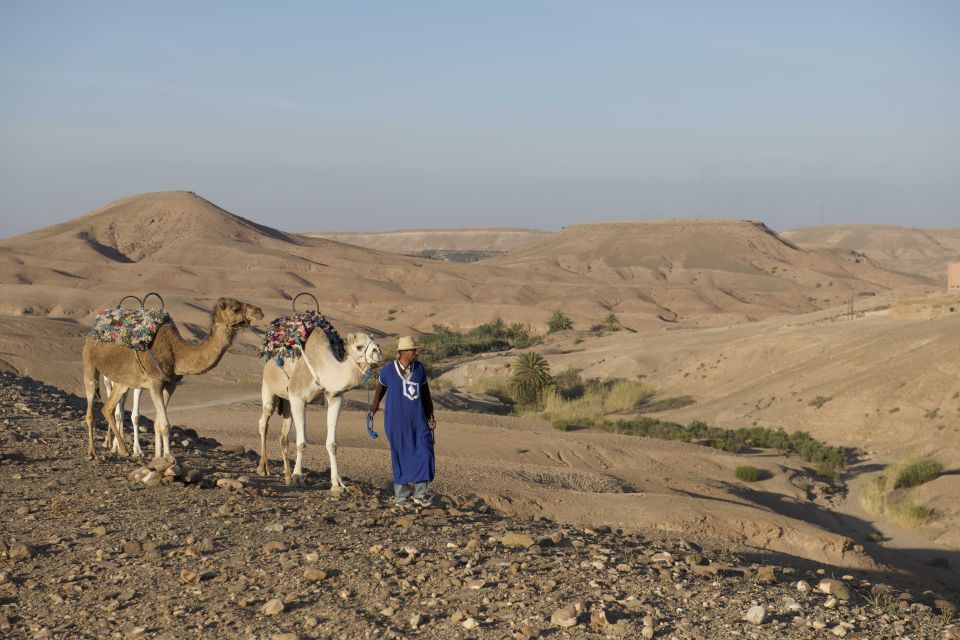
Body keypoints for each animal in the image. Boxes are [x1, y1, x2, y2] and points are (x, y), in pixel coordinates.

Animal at [81, 298, 262, 460]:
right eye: (235, 308)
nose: (259, 311)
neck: (177, 353)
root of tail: (93, 331)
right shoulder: (154, 383)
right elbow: (165, 425)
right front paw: (168, 457)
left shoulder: (170, 384)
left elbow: (158, 423)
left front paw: (159, 456)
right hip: (90, 365)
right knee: (91, 410)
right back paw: (94, 451)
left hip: (122, 382)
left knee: (108, 409)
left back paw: (122, 448)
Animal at [260, 330, 384, 490]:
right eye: (359, 346)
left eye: (376, 343)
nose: (377, 352)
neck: (322, 369)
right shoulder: (298, 398)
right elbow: (301, 442)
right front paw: (298, 478)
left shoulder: (335, 397)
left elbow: (332, 444)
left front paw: (336, 483)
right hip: (269, 389)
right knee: (264, 422)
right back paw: (264, 469)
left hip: (287, 402)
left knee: (283, 436)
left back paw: (287, 476)